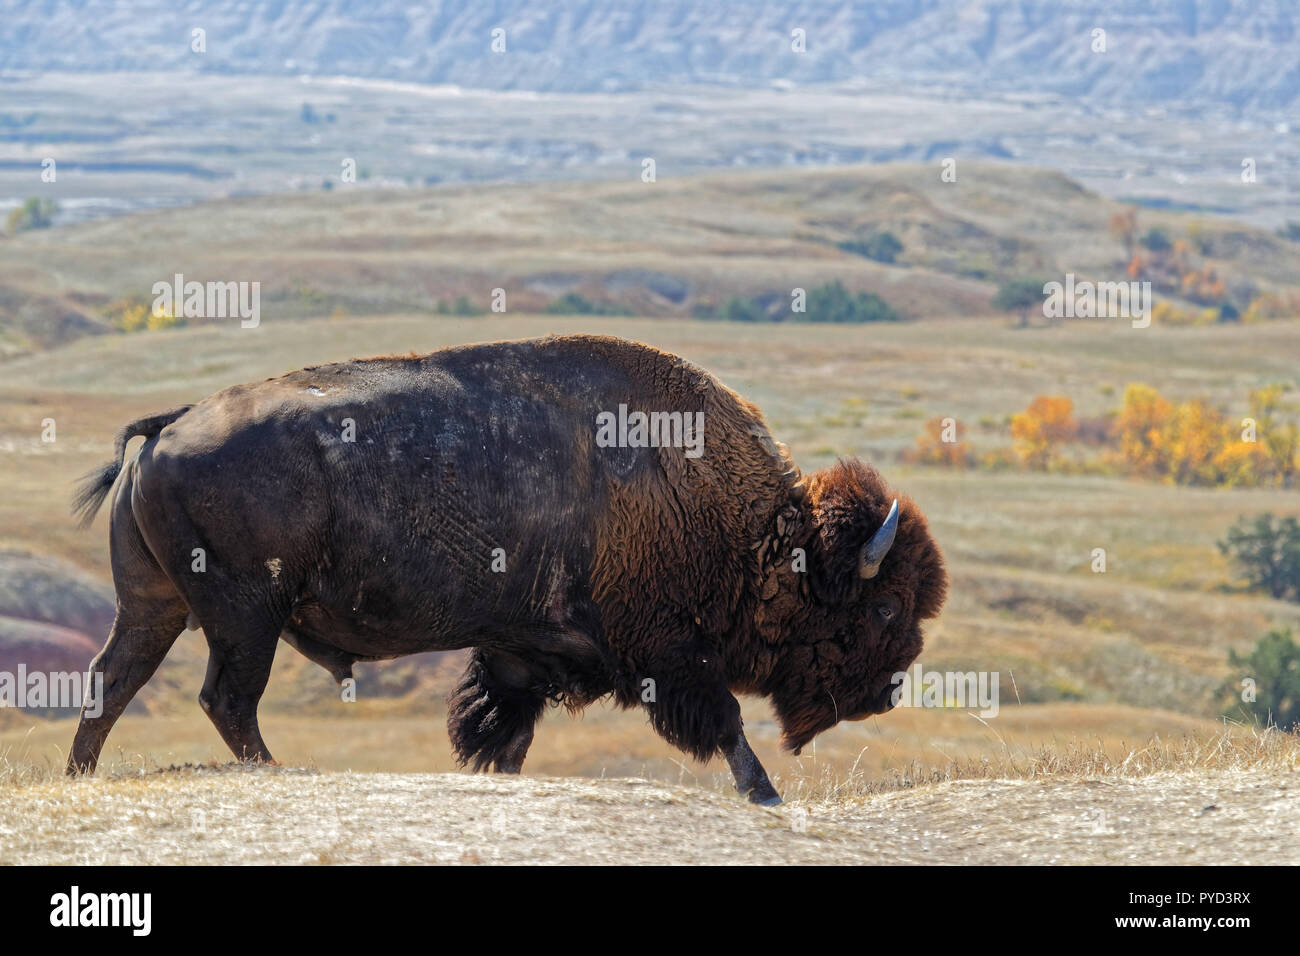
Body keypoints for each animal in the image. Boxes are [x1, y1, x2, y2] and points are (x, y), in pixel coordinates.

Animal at [65, 332, 946, 806]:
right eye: (884, 609)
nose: (887, 692)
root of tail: (170, 427)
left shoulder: (524, 653)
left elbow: (505, 734)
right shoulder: (670, 653)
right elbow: (725, 723)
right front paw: (764, 791)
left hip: (156, 604)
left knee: (114, 679)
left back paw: (80, 776)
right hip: (245, 614)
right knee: (225, 698)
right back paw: (274, 771)